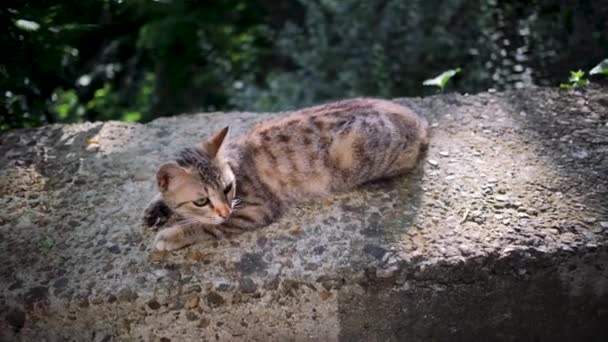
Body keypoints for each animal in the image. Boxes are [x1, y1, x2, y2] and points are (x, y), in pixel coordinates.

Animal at [142, 97, 428, 250]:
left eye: (227, 188)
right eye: (201, 200)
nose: (224, 209)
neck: (236, 162)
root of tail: (419, 121)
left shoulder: (252, 211)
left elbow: (207, 227)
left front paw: (172, 235)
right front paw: (156, 209)